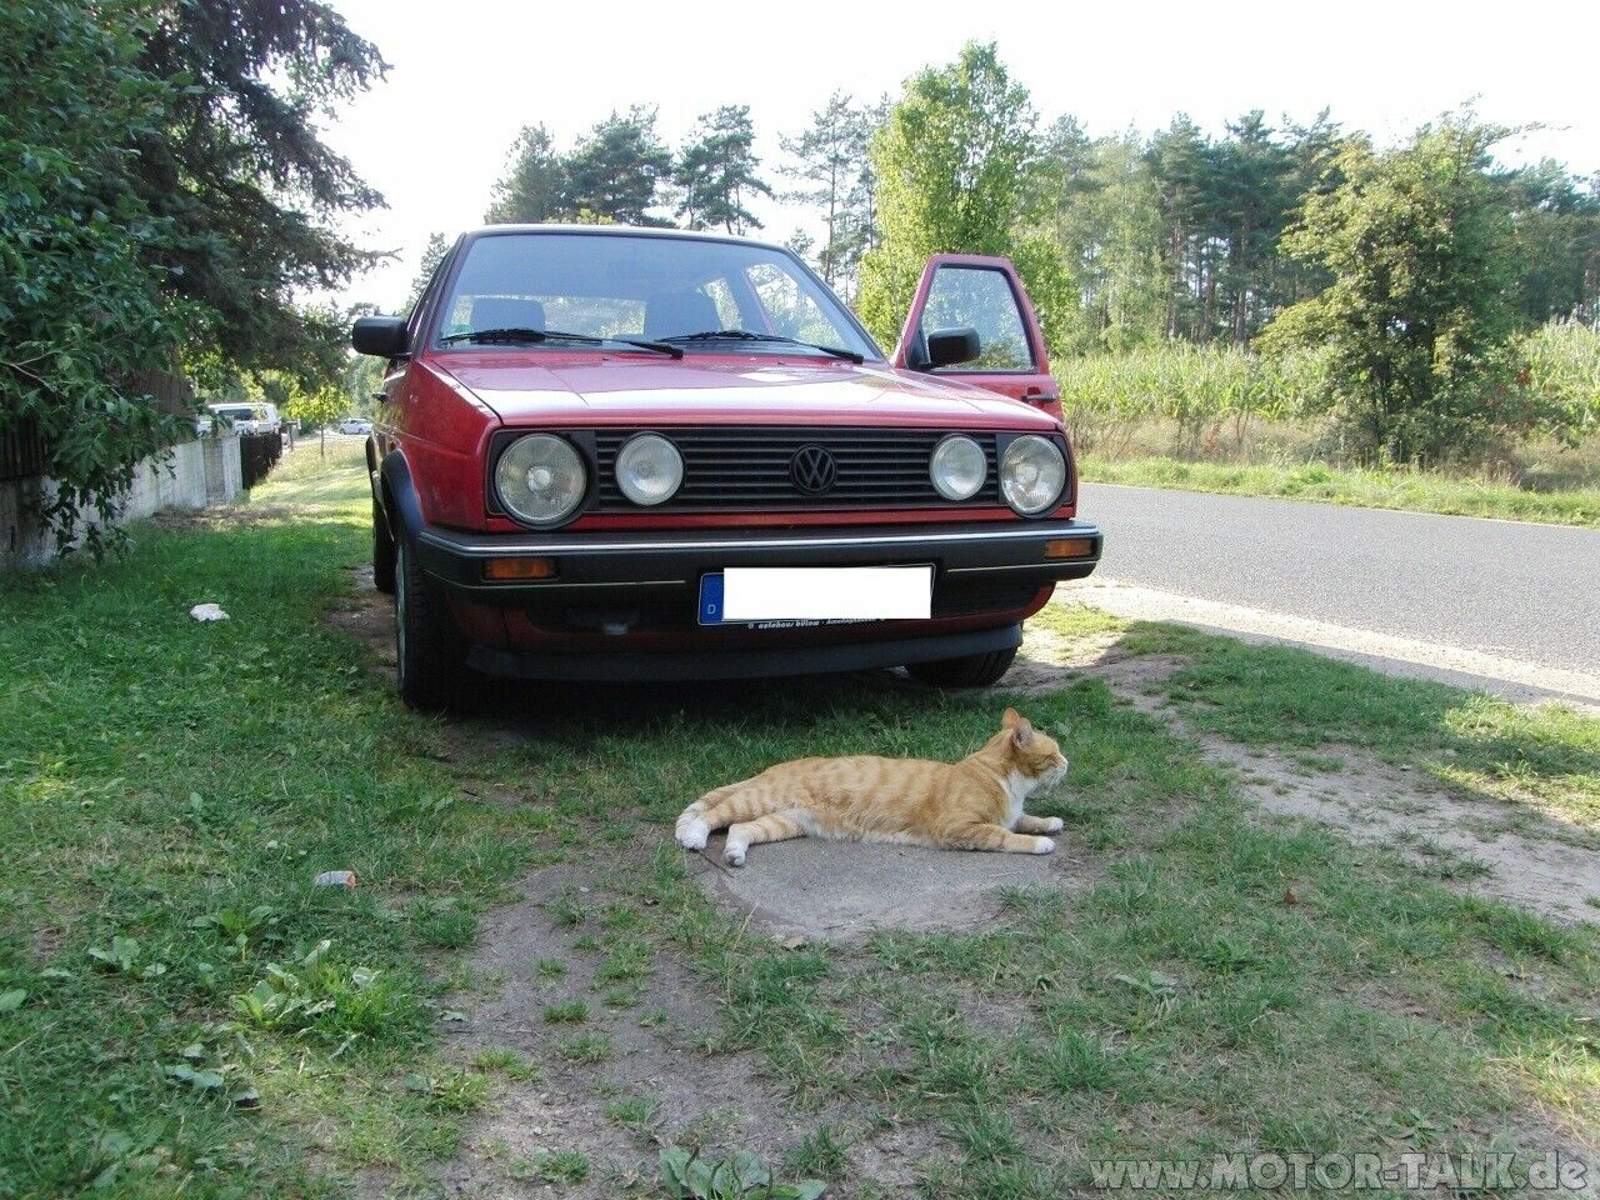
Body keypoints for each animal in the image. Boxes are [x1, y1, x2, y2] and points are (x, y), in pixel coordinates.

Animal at [675, 708, 1069, 867]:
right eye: (1054, 753)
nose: (1068, 762)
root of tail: (774, 767)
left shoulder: (1009, 815)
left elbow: (1025, 819)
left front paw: (1050, 822)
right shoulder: (960, 828)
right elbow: (1007, 836)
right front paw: (1039, 843)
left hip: (785, 821)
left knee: (740, 829)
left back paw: (734, 854)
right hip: (758, 799)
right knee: (713, 815)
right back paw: (694, 837)